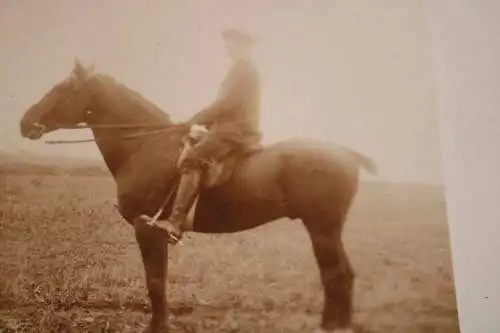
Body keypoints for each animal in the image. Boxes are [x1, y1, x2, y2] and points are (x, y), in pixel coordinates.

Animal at [19, 60, 378, 332]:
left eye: (62, 89)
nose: (24, 122)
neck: (145, 145)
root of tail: (347, 153)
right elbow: (158, 282)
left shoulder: (146, 229)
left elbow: (155, 283)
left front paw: (158, 327)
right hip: (325, 230)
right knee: (340, 276)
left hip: (322, 228)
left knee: (336, 275)